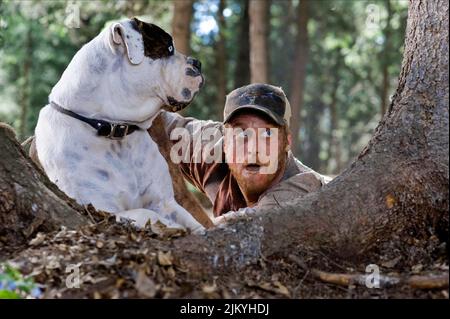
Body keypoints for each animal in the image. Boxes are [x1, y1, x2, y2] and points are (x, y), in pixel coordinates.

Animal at [33, 17, 204, 234]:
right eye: (169, 47)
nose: (197, 62)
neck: (116, 128)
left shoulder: (165, 201)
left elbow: (192, 221)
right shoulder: (99, 210)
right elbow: (146, 213)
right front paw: (172, 226)